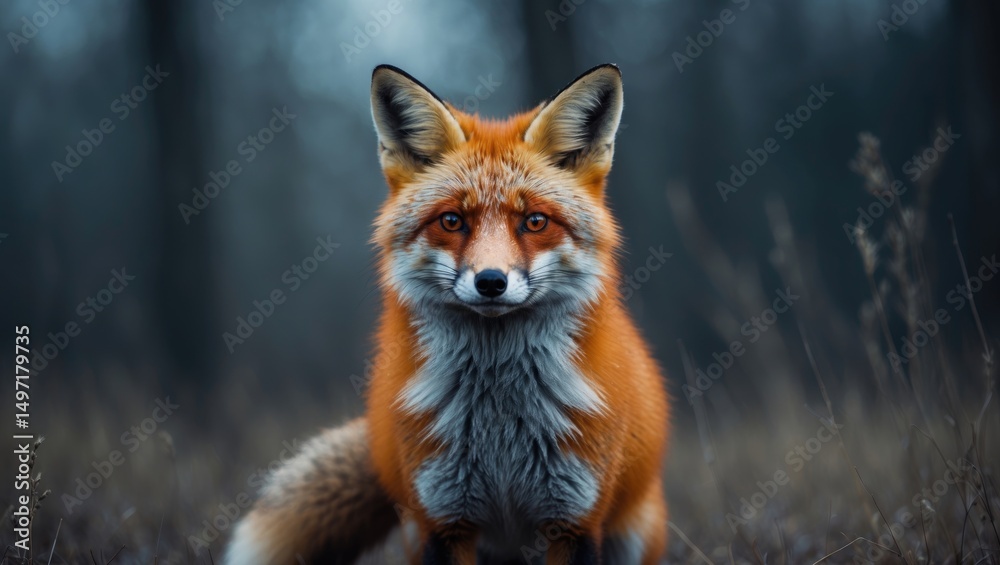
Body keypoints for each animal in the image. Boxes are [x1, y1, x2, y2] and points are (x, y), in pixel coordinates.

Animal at [226, 63, 671, 564]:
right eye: (452, 221)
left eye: (535, 221)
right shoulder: (444, 522)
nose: (491, 281)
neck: (501, 427)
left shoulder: (574, 523)